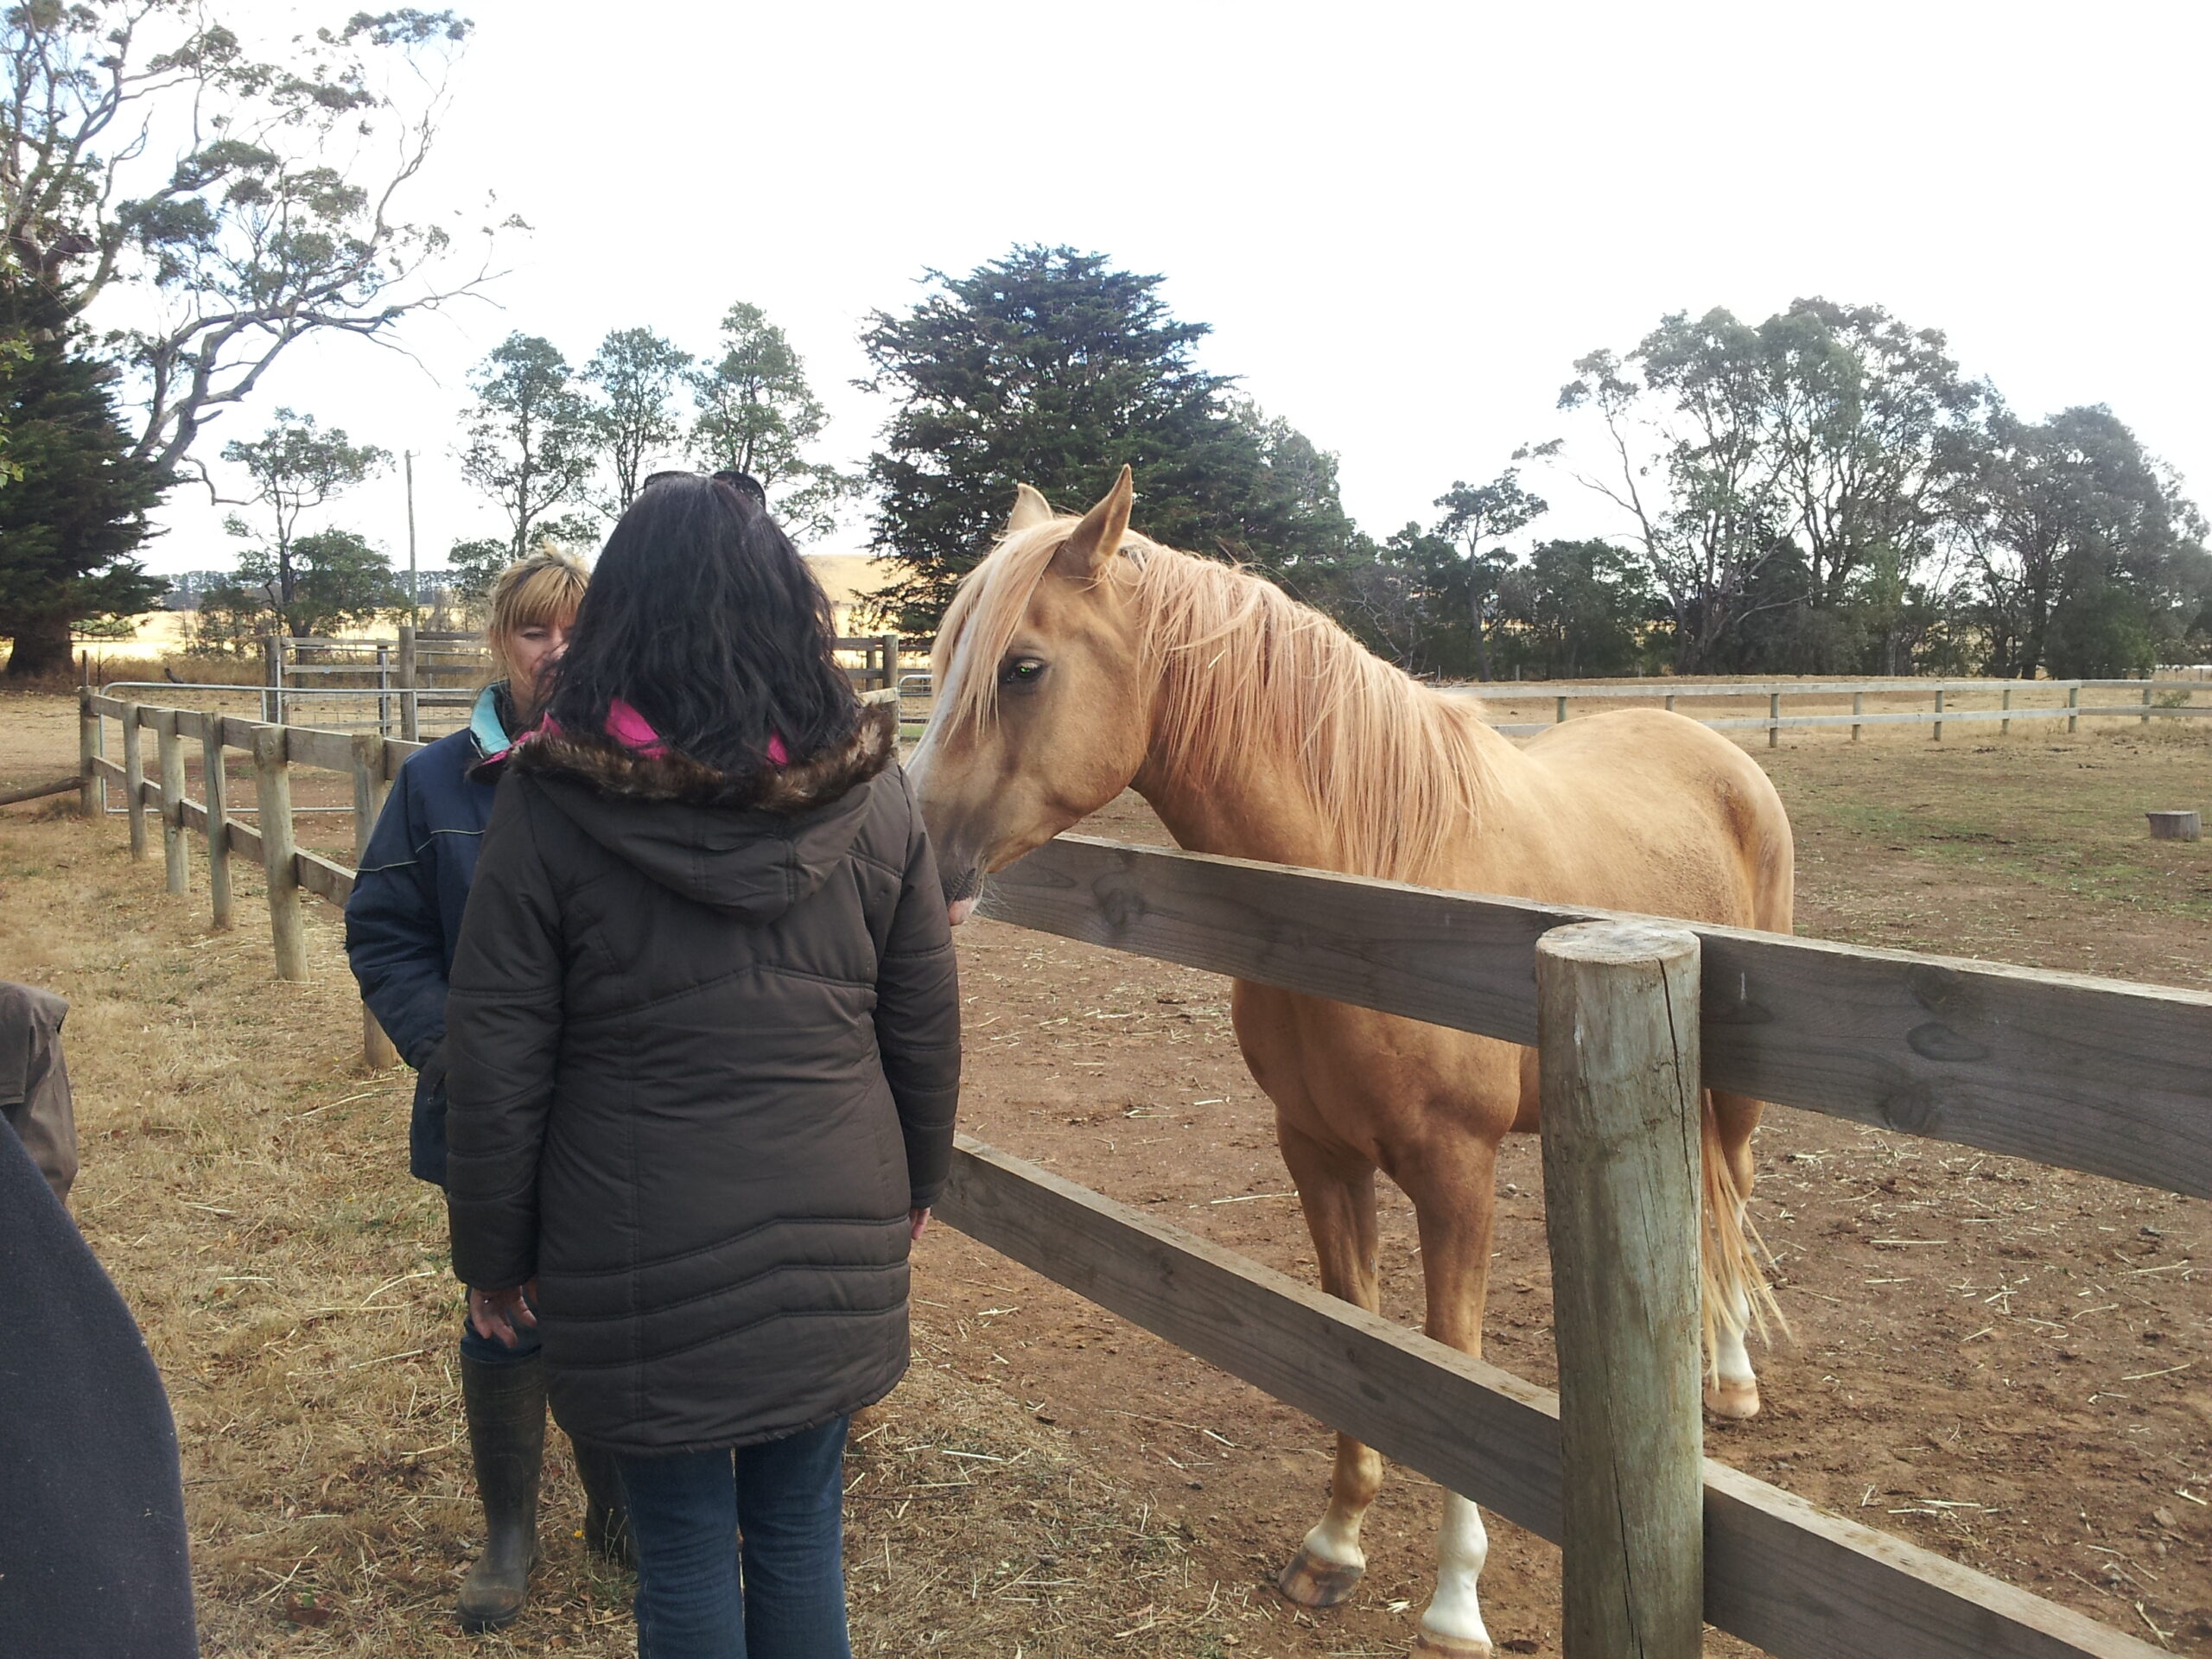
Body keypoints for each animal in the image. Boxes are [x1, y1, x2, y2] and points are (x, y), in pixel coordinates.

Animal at [906, 468, 1787, 1659]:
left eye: (1022, 667)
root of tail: (1714, 750)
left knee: (1731, 1195)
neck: (1374, 896)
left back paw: (1730, 1383)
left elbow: (1454, 1363)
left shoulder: (1456, 1177)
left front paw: (1455, 1600)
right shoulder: (1318, 1155)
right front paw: (1332, 1549)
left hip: (1731, 1095)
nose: (912, 858)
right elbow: (1354, 1341)